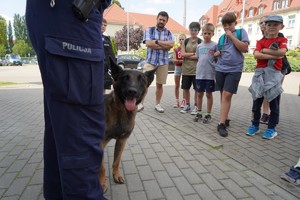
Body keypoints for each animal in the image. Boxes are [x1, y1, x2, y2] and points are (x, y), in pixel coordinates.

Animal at [100, 57, 155, 192]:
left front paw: (116, 175)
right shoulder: (100, 143)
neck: (121, 112)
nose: (132, 91)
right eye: (125, 78)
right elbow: (102, 167)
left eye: (141, 79)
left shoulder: (122, 140)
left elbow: (116, 161)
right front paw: (102, 183)